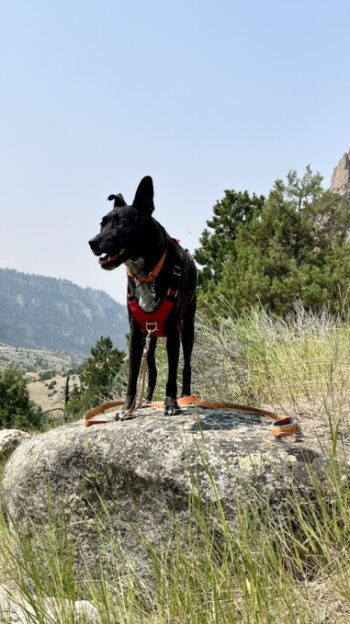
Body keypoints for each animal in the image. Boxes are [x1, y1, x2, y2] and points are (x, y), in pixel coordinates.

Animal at [88, 176, 197, 420]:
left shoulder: (174, 332)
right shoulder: (137, 334)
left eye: (120, 224)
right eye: (102, 224)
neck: (146, 272)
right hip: (152, 336)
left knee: (186, 365)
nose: (92, 242)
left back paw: (186, 395)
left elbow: (172, 373)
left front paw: (171, 403)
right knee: (153, 370)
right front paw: (127, 409)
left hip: (188, 327)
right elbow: (132, 376)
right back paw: (146, 400)